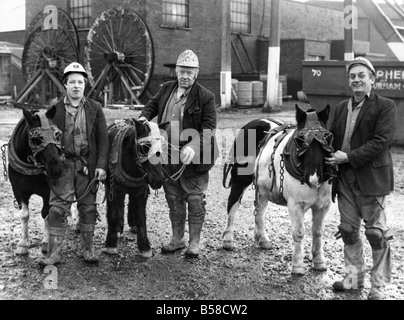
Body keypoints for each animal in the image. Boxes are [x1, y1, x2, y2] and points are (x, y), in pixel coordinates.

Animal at [7, 107, 64, 255]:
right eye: (36, 139)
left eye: (57, 135)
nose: (56, 169)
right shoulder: (18, 191)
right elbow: (24, 214)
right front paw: (22, 244)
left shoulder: (48, 191)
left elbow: (46, 214)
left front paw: (46, 242)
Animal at [103, 119, 163, 258]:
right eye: (143, 147)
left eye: (161, 148)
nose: (158, 179)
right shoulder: (114, 190)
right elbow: (113, 213)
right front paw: (111, 244)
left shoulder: (141, 192)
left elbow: (141, 217)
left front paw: (145, 246)